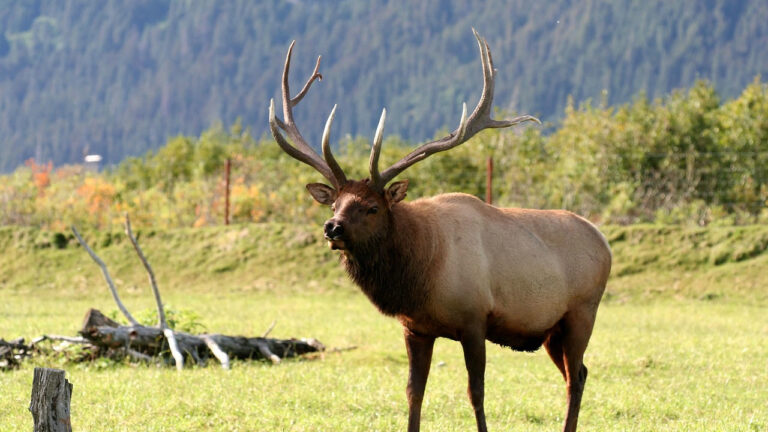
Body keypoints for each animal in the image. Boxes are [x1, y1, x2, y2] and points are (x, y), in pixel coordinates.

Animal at [268, 30, 612, 432]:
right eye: (334, 203)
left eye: (372, 207)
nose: (332, 228)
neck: (421, 272)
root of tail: (604, 241)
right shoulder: (415, 328)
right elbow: (413, 392)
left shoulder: (475, 319)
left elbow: (476, 392)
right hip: (552, 331)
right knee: (581, 372)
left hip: (582, 313)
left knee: (576, 378)